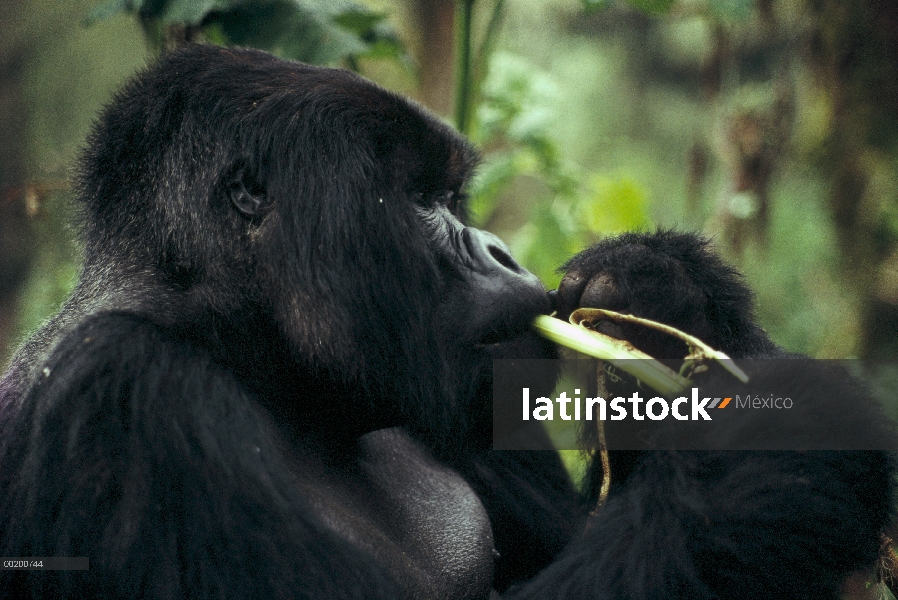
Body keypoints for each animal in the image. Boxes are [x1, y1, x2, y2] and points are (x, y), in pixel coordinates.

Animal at [0, 44, 892, 596]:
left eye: (457, 195)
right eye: (426, 198)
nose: (501, 251)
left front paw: (659, 294)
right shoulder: (126, 391)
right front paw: (773, 458)